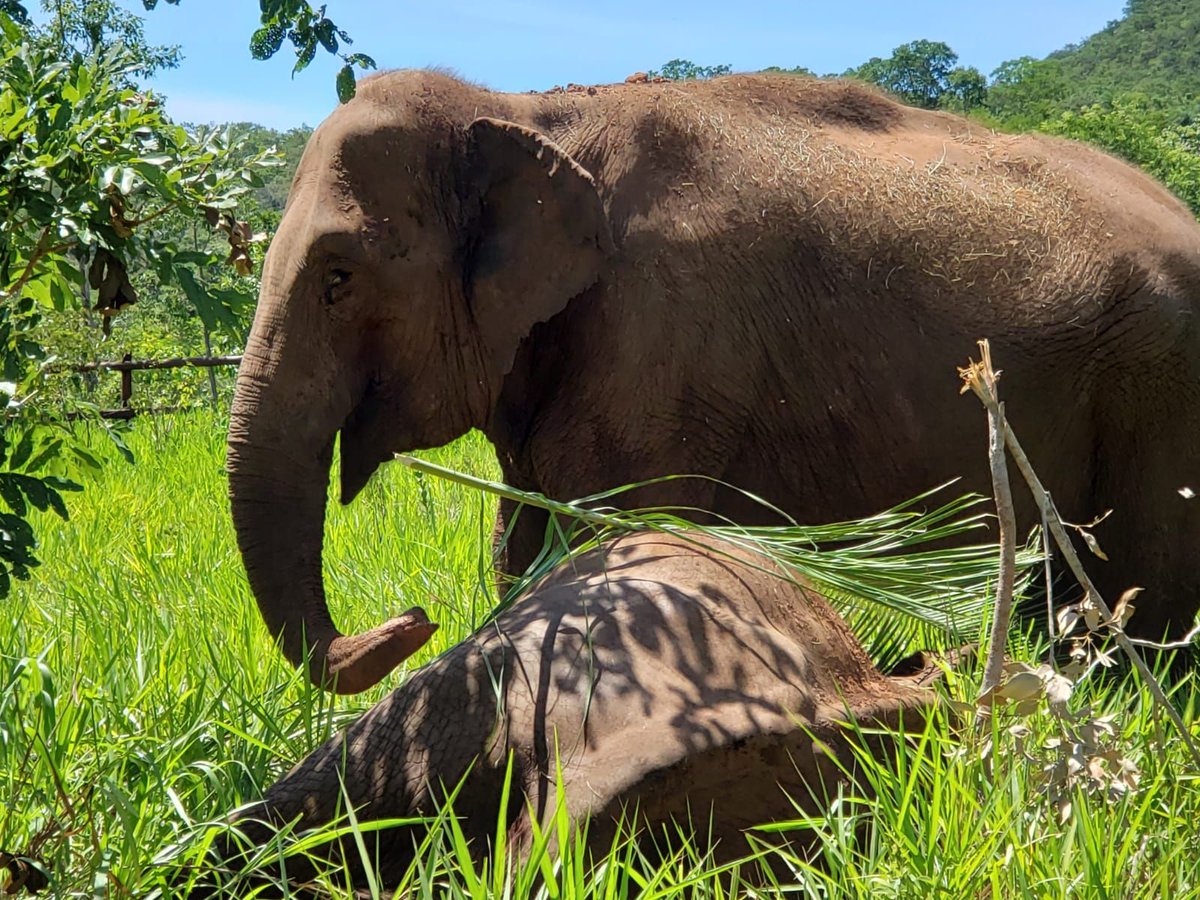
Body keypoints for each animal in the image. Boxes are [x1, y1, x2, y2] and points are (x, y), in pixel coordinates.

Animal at [227, 69, 1200, 692]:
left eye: (339, 276)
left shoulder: (661, 336)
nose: (411, 619)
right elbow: (523, 549)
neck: (531, 110)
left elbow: (608, 542)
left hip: (1160, 391)